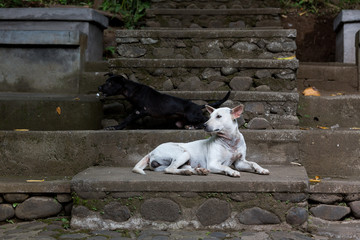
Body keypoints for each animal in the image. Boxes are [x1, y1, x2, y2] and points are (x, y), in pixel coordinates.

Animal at [97, 74, 229, 130]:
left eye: (110, 83)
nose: (99, 87)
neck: (132, 89)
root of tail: (198, 106)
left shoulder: (140, 111)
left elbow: (127, 119)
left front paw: (115, 127)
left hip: (191, 116)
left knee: (205, 119)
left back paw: (198, 126)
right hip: (180, 122)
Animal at [132, 104, 270, 176]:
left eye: (218, 116)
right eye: (210, 116)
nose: (203, 125)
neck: (230, 141)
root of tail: (151, 152)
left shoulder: (240, 162)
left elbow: (253, 163)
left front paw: (261, 169)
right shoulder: (213, 163)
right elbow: (225, 167)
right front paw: (231, 172)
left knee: (176, 167)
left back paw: (197, 170)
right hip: (184, 153)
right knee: (169, 169)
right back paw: (187, 172)